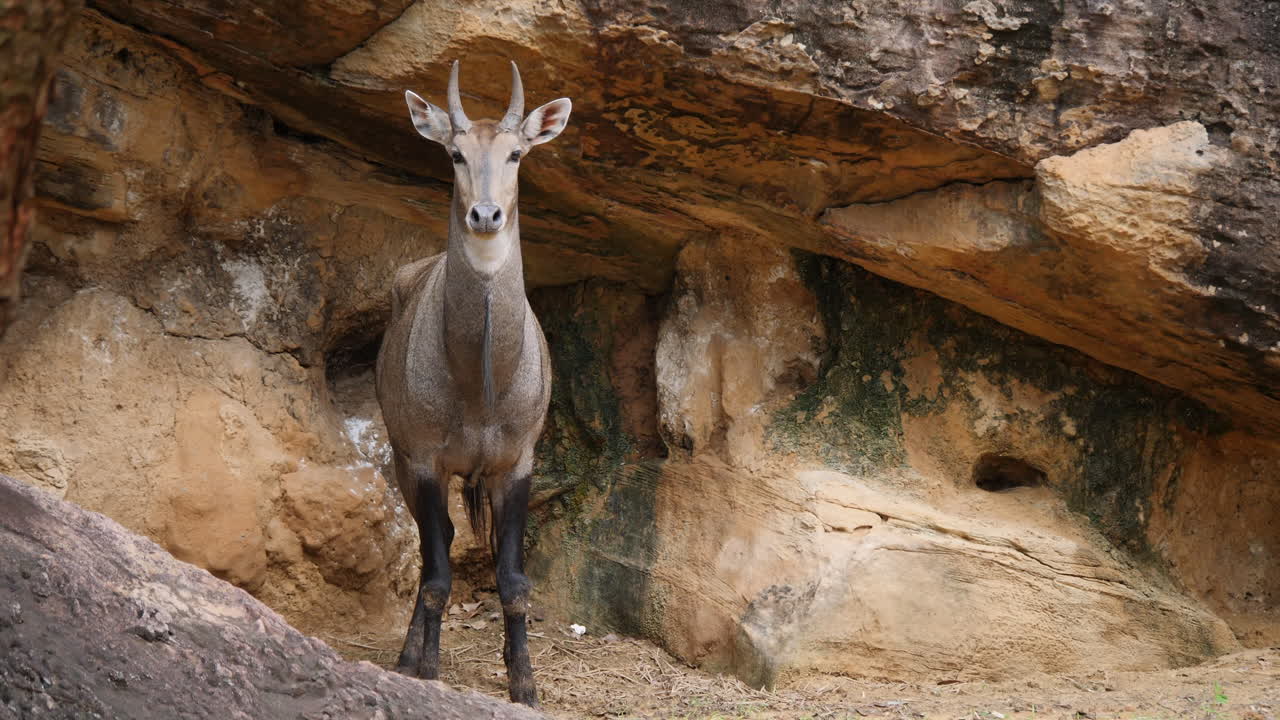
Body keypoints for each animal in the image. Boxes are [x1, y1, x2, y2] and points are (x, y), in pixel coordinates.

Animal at [376, 60, 570, 707]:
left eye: (516, 153)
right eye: (456, 153)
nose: (485, 216)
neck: (481, 387)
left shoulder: (517, 462)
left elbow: (513, 580)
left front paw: (525, 684)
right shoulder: (426, 460)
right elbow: (437, 573)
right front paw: (427, 671)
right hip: (403, 463)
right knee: (428, 547)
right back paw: (408, 654)